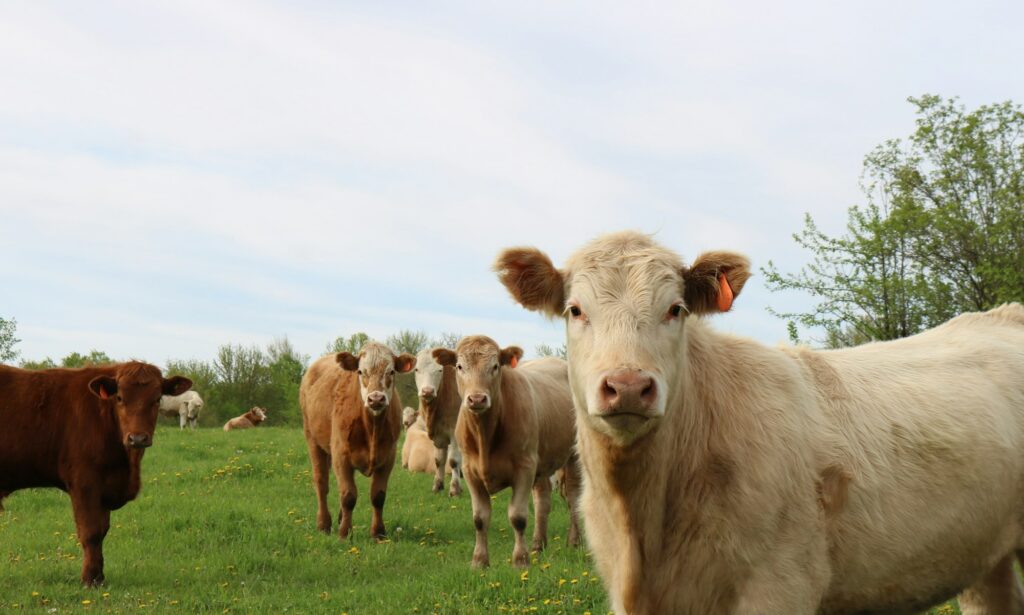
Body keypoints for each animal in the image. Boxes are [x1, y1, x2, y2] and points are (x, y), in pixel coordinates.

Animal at [0, 362, 191, 581]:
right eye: (119, 397)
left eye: (157, 398)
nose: (137, 438)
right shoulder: (84, 483)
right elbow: (90, 533)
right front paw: (90, 578)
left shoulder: (104, 488)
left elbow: (102, 531)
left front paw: (99, 576)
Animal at [299, 343, 415, 540]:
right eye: (360, 371)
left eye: (391, 371)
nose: (376, 398)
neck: (372, 428)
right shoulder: (341, 457)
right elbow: (348, 496)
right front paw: (344, 533)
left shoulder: (388, 458)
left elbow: (378, 496)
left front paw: (378, 533)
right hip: (312, 439)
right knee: (321, 482)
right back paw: (324, 524)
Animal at [434, 335, 585, 564]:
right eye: (459, 366)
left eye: (495, 366)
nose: (477, 399)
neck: (485, 435)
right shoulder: (470, 471)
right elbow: (479, 518)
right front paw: (479, 560)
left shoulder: (524, 468)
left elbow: (518, 517)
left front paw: (520, 559)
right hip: (541, 461)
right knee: (542, 500)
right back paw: (538, 545)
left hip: (572, 455)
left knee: (573, 496)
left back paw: (574, 541)